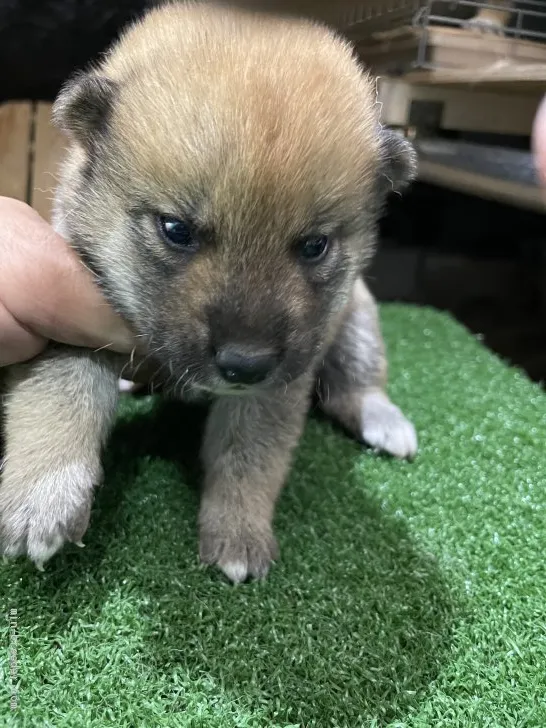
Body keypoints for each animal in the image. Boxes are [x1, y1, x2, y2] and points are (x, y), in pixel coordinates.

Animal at [1, 0, 416, 580]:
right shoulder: (72, 309)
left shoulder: (279, 382)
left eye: (315, 246)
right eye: (176, 229)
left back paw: (384, 419)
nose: (245, 364)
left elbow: (249, 454)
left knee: (360, 377)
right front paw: (43, 492)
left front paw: (238, 530)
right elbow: (61, 392)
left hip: (356, 316)